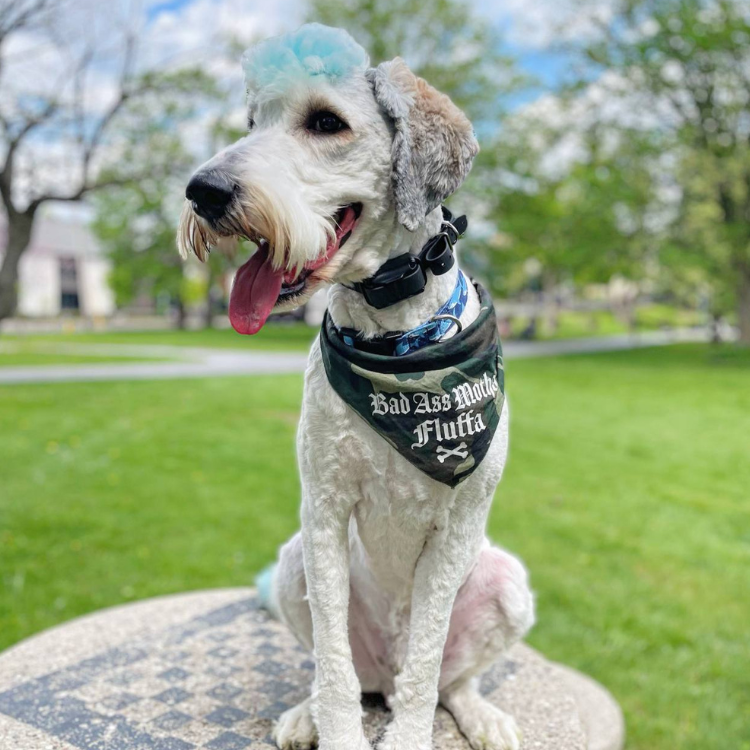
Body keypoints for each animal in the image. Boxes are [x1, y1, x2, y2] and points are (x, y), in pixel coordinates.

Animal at [179, 22, 536, 750]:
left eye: (325, 122)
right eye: (252, 122)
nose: (203, 191)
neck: (395, 342)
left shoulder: (457, 530)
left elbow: (427, 668)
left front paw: (409, 733)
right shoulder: (323, 511)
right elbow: (334, 667)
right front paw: (336, 726)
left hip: (505, 581)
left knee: (445, 681)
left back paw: (477, 713)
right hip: (294, 565)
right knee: (338, 665)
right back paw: (306, 712)